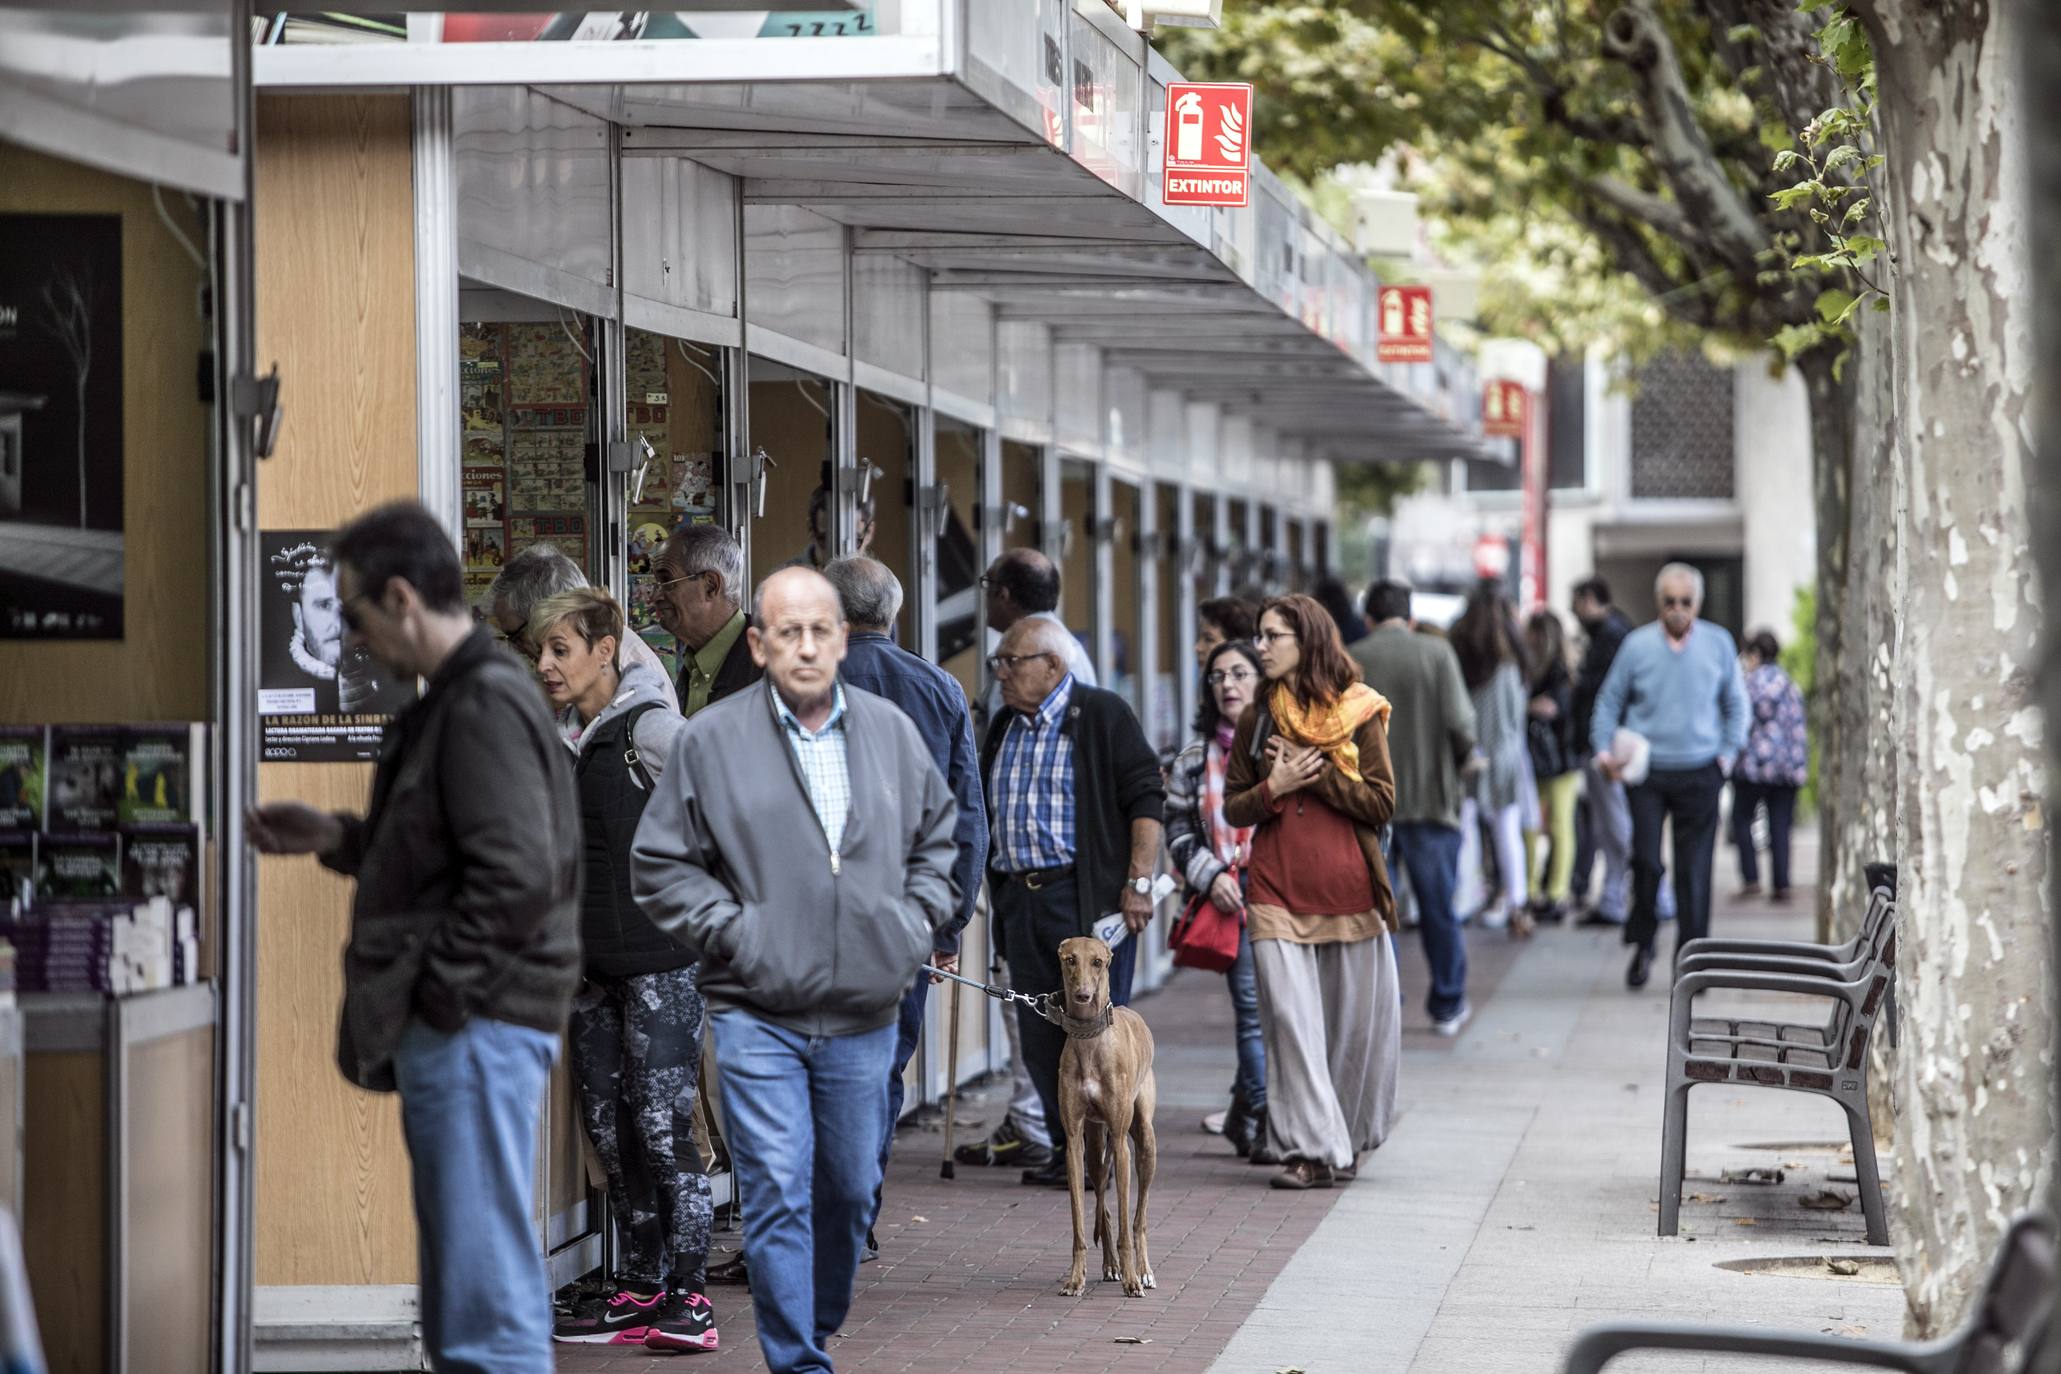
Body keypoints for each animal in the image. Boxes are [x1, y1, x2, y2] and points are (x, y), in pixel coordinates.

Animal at [1055, 935, 1154, 1301]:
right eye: (1070, 959)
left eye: (1098, 962)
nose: (1083, 995)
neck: (1090, 1041)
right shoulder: (1073, 1143)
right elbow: (1080, 1225)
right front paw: (1075, 1279)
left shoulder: (1122, 1143)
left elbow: (1128, 1223)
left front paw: (1132, 1280)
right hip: (1097, 1144)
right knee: (1103, 1203)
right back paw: (1111, 1265)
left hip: (1144, 1142)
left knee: (1139, 1217)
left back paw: (1143, 1270)